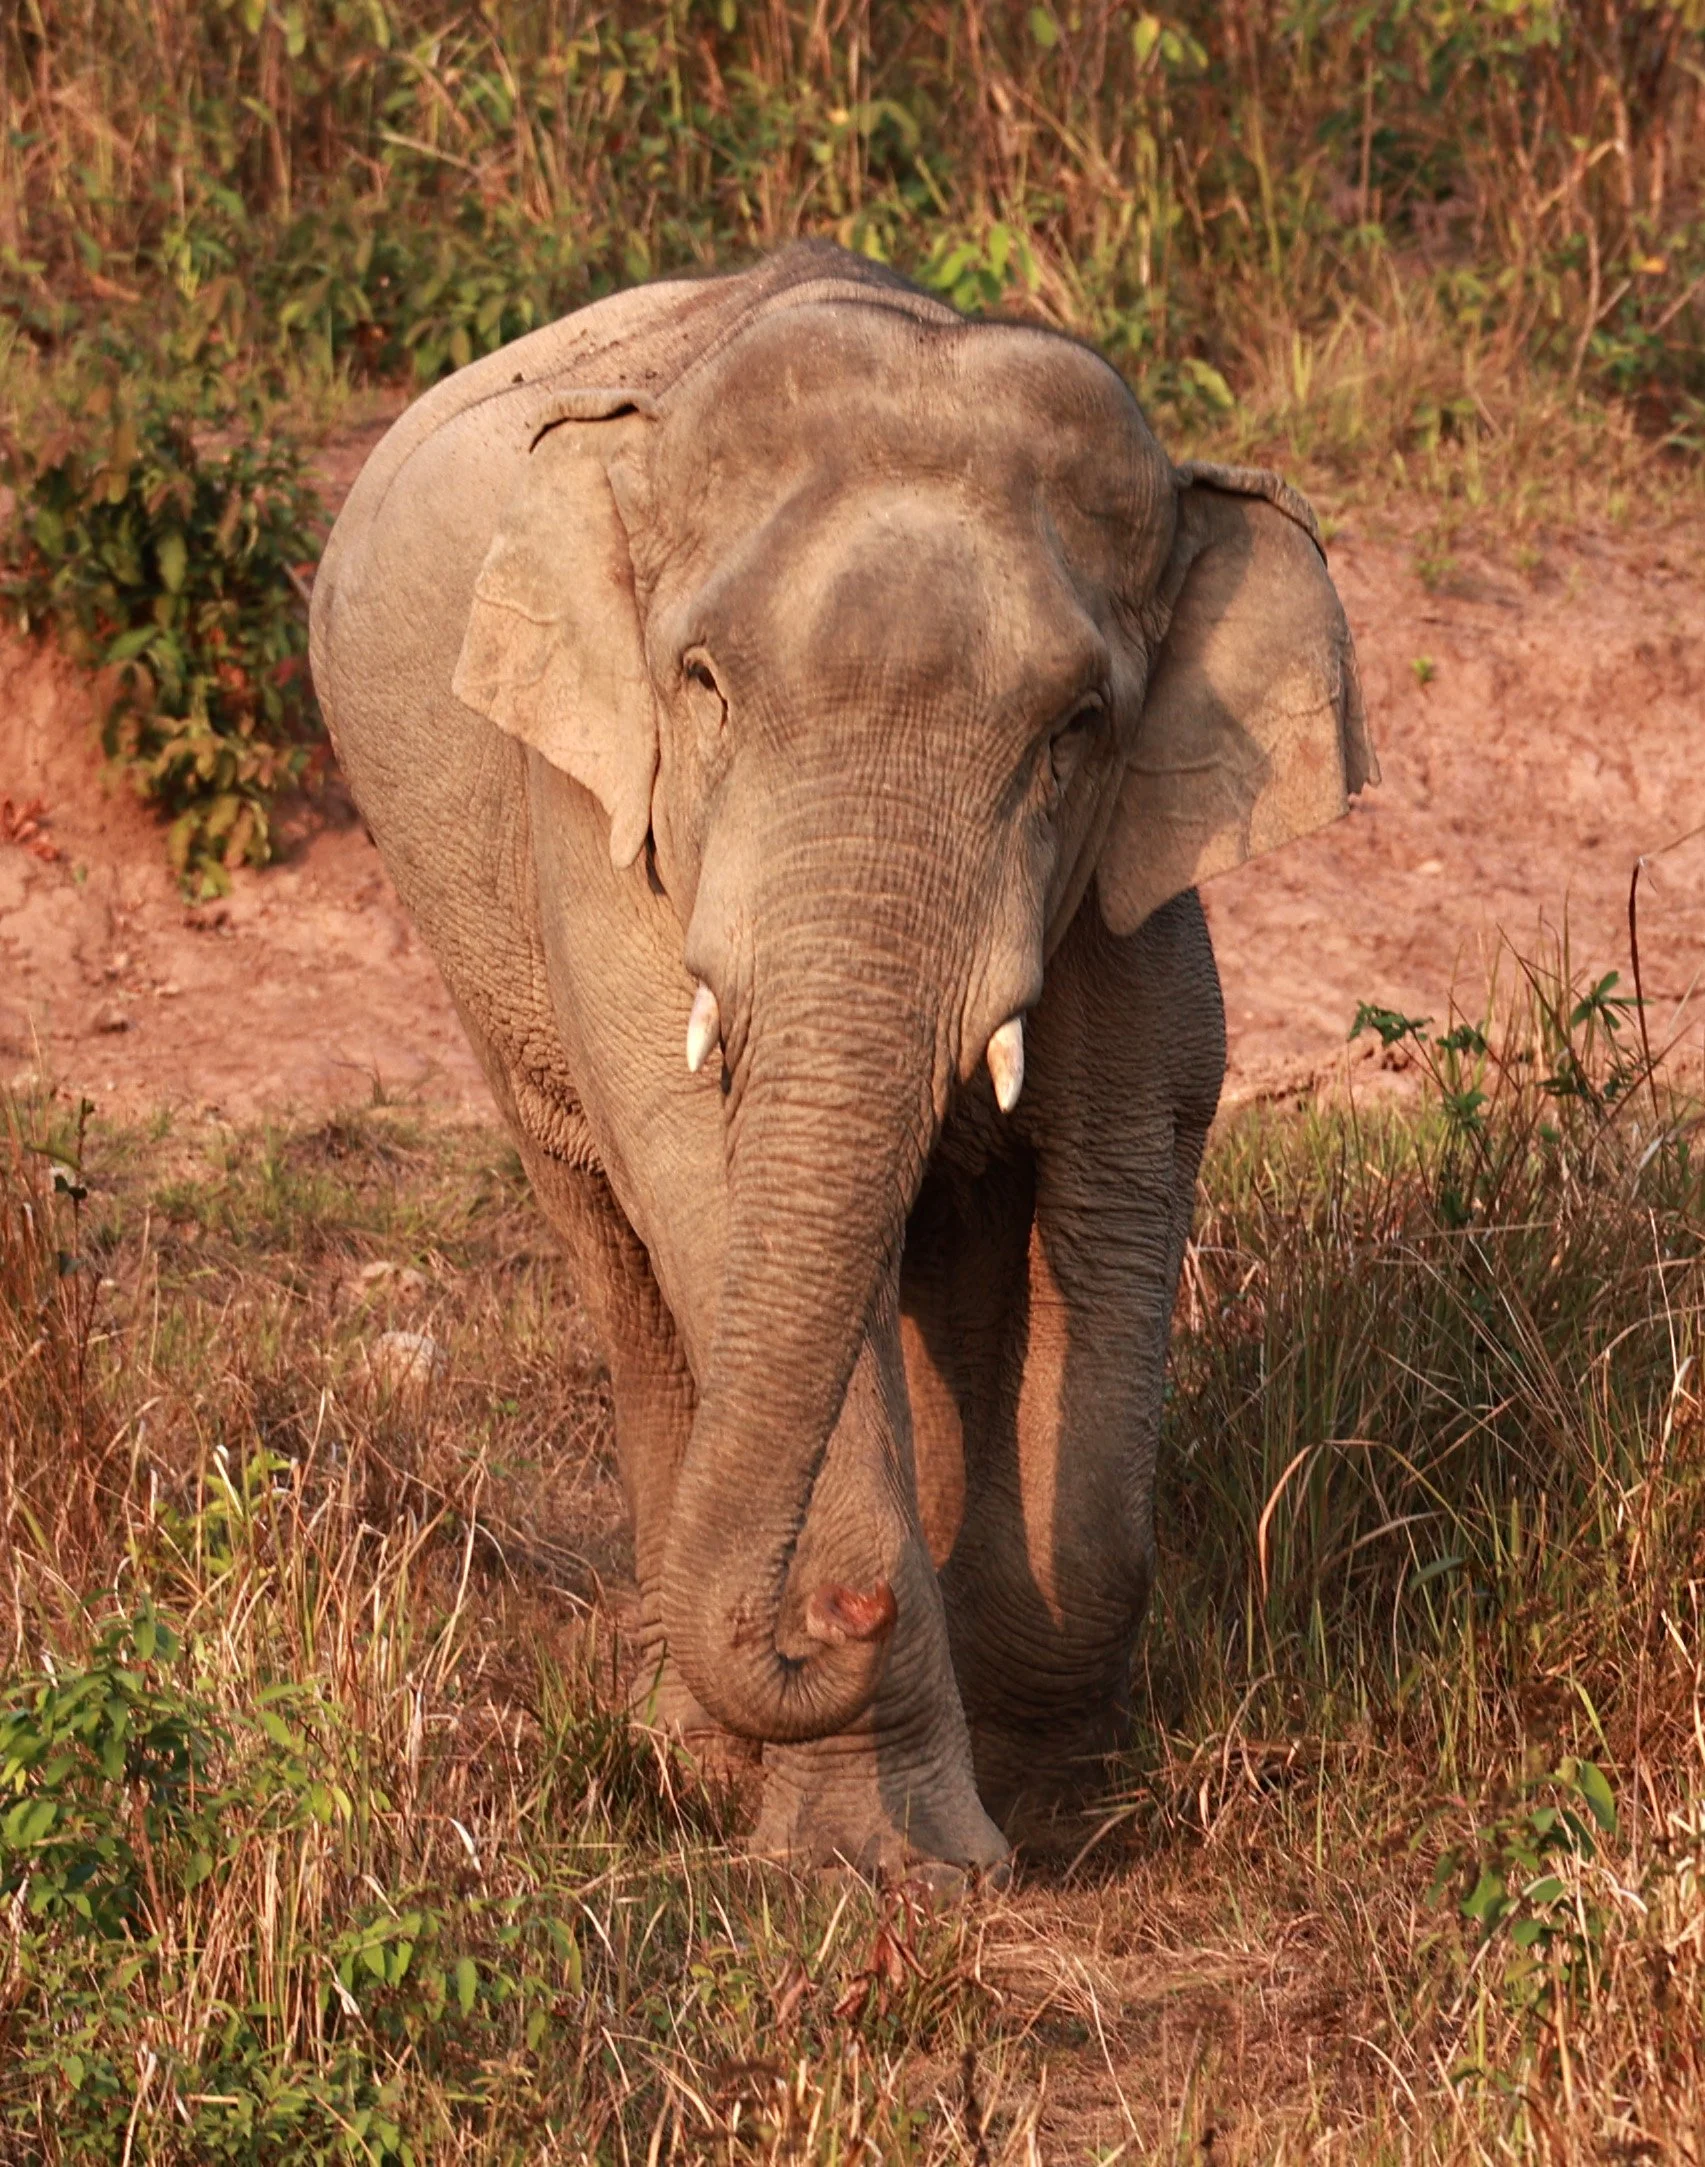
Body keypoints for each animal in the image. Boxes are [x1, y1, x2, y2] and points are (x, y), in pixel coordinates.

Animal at [310, 240, 1375, 1880]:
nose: (840, 1616)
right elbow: (701, 1168)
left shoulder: (1129, 882)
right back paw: (688, 1742)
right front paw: (883, 1864)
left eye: (1078, 725)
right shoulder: (602, 830)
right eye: (701, 684)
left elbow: (1124, 1166)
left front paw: (1037, 1780)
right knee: (614, 1244)